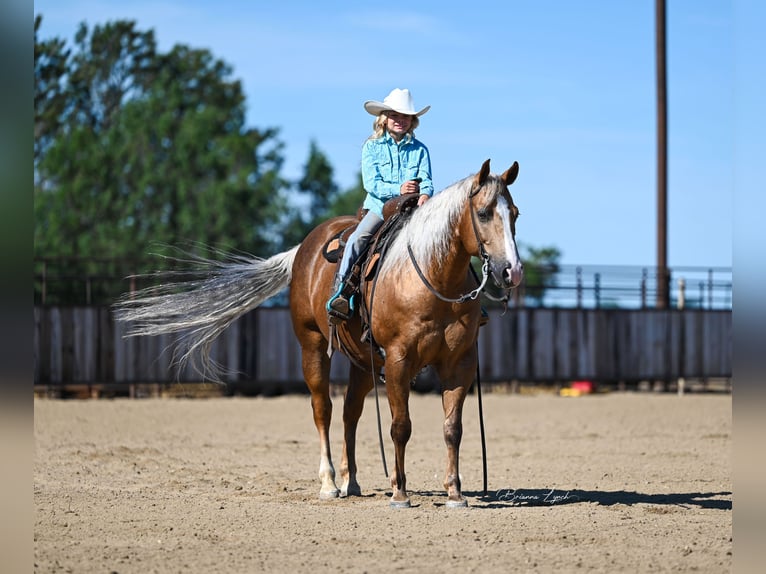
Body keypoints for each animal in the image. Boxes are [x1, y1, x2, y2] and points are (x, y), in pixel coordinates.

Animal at [117, 160, 524, 506]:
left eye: (515, 214)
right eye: (484, 213)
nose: (512, 271)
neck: (430, 275)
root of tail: (303, 248)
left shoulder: (460, 363)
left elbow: (452, 428)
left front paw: (455, 493)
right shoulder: (398, 359)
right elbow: (400, 427)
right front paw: (399, 493)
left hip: (363, 361)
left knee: (350, 413)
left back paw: (351, 481)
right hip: (312, 346)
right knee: (323, 409)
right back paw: (329, 483)